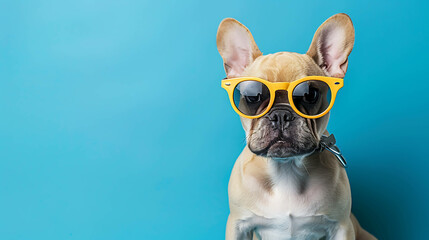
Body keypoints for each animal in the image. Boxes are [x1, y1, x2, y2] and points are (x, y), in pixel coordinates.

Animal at [216, 13, 376, 240]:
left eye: (310, 94)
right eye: (253, 96)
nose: (281, 115)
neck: (286, 168)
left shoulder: (342, 227)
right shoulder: (238, 225)